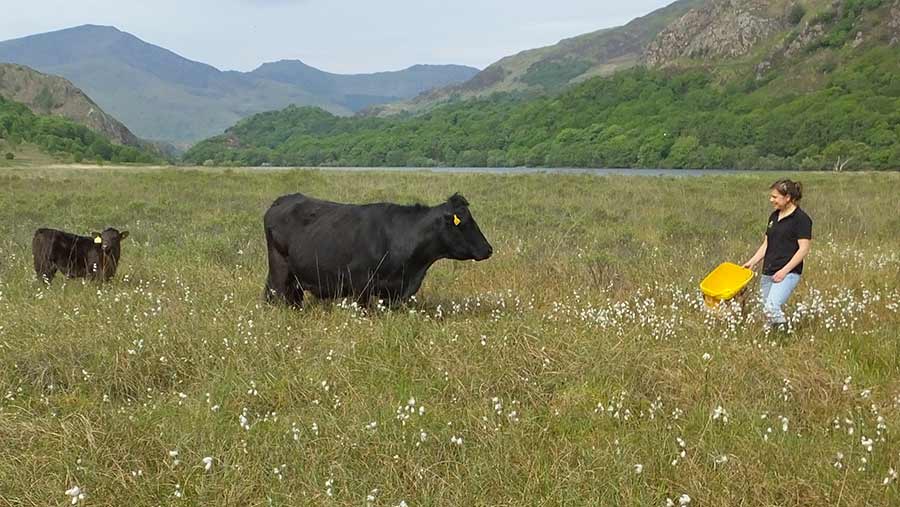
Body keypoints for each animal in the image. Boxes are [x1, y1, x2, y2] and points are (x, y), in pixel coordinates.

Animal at [264, 193, 492, 306]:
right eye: (463, 223)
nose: (488, 249)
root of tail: (284, 199)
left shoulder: (392, 293)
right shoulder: (360, 285)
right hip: (280, 270)